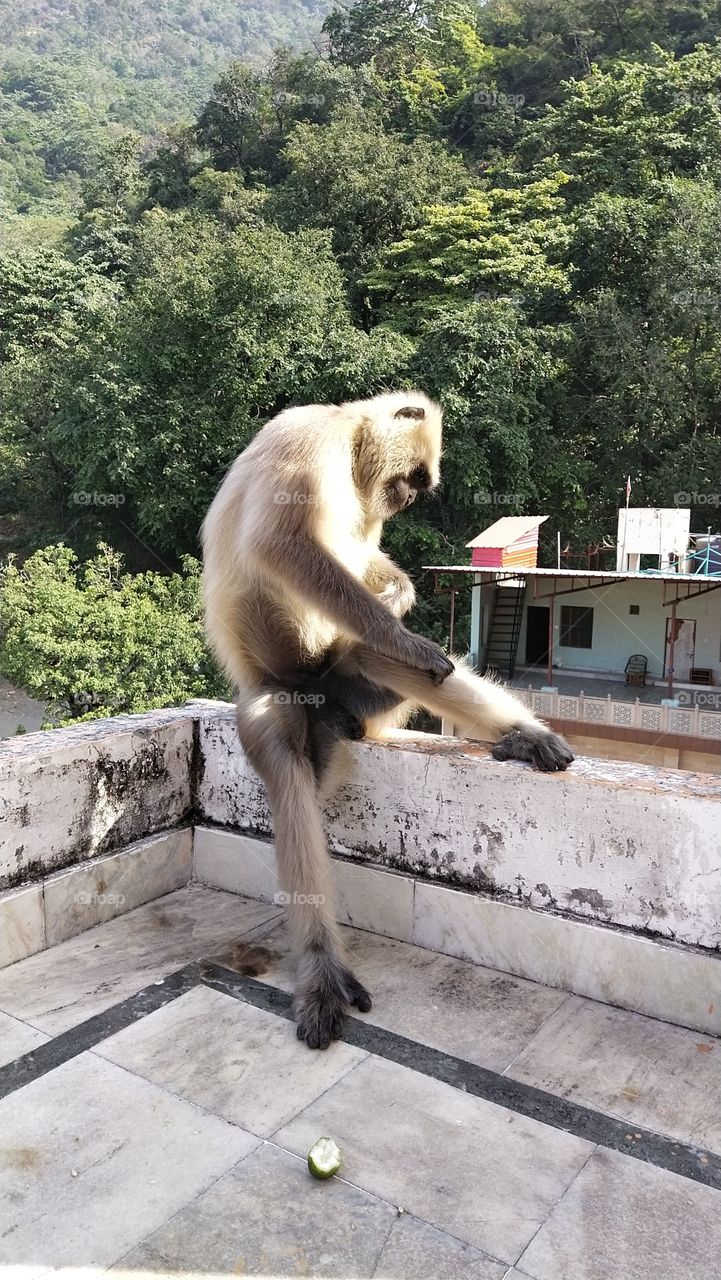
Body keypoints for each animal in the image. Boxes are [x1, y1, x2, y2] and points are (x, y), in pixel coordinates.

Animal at [201, 391, 573, 1050]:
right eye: (417, 479)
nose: (405, 498)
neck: (348, 438)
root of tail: (314, 692)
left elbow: (368, 559)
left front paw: (400, 592)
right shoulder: (310, 438)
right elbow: (279, 544)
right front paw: (404, 630)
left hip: (351, 690)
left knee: (378, 665)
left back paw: (522, 736)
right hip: (275, 693)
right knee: (293, 759)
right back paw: (321, 970)